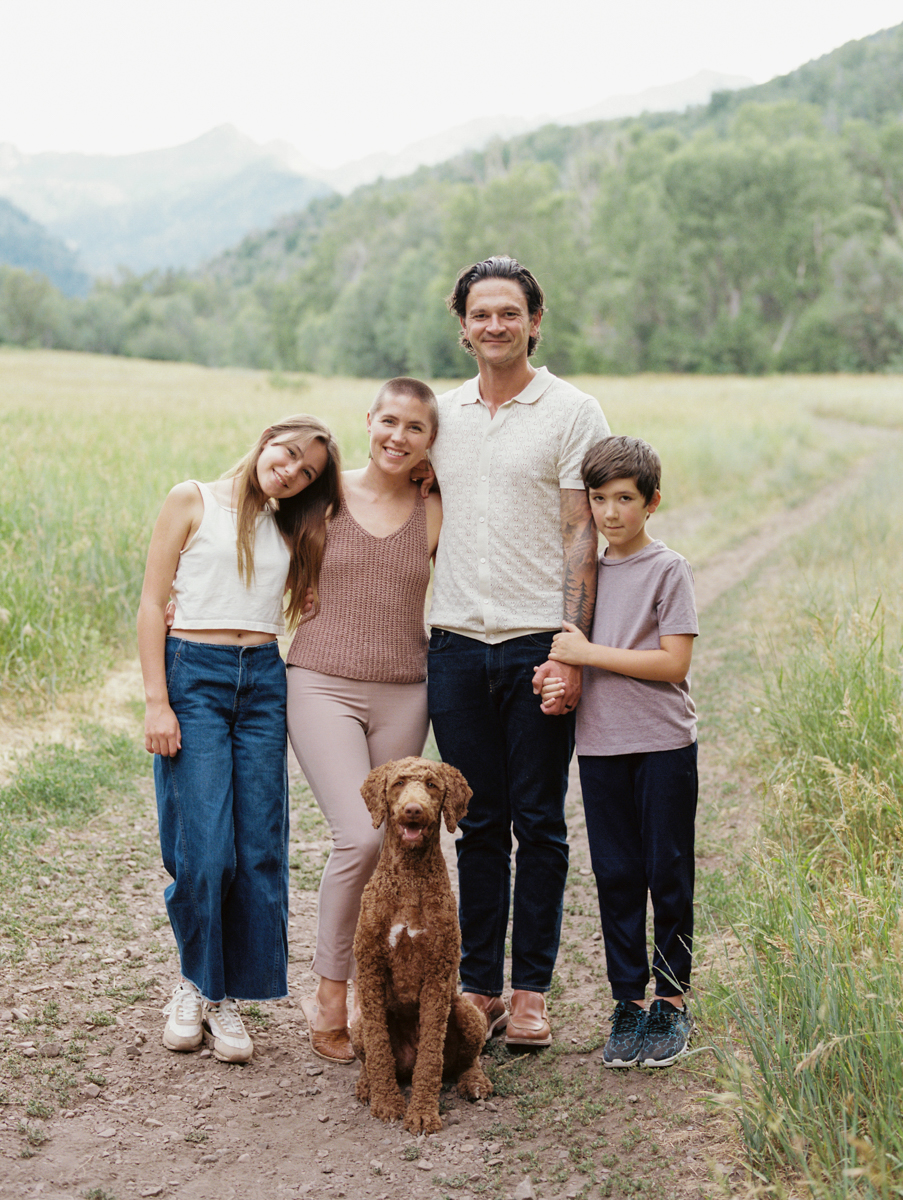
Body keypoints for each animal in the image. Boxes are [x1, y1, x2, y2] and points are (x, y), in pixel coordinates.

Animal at [353, 758, 494, 1132]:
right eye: (399, 783)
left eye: (431, 784)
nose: (413, 810)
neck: (409, 878)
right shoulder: (369, 968)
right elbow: (378, 1046)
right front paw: (387, 1102)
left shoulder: (438, 974)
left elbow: (430, 1055)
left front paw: (422, 1113)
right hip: (356, 1026)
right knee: (370, 1056)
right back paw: (367, 1084)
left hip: (467, 1012)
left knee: (465, 1059)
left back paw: (475, 1081)